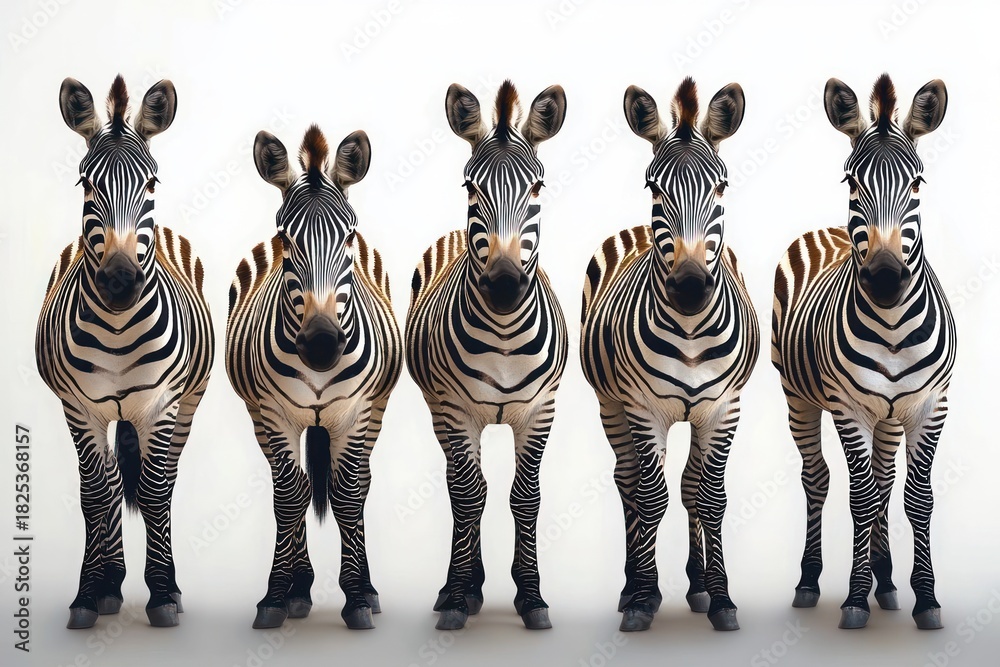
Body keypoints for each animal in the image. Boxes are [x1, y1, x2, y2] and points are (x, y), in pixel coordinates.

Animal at [35, 75, 214, 629]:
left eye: (152, 184)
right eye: (85, 184)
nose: (118, 281)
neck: (115, 331)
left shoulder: (161, 407)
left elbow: (154, 491)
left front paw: (161, 595)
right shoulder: (78, 407)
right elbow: (96, 494)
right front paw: (88, 594)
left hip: (188, 401)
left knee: (164, 481)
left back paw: (166, 584)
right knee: (110, 483)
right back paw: (111, 583)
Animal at [226, 125, 401, 630]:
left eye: (348, 235)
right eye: (286, 237)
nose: (321, 343)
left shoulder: (356, 412)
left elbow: (347, 494)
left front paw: (357, 597)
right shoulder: (272, 413)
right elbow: (290, 495)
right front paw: (276, 597)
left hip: (375, 412)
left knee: (360, 482)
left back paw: (368, 588)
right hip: (258, 416)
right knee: (292, 486)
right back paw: (298, 589)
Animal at [405, 80, 567, 631]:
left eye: (537, 187)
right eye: (470, 189)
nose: (502, 285)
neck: (503, 336)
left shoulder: (540, 411)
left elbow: (526, 496)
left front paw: (532, 597)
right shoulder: (456, 411)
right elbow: (469, 494)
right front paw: (458, 596)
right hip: (439, 411)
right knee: (460, 487)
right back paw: (460, 587)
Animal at [580, 78, 759, 633]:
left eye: (721, 187)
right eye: (654, 189)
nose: (689, 286)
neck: (690, 331)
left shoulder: (724, 409)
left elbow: (709, 497)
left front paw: (720, 598)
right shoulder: (642, 408)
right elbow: (650, 497)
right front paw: (643, 597)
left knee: (688, 486)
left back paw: (696, 586)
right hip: (609, 405)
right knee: (629, 483)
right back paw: (631, 584)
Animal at [772, 74, 954, 630]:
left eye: (917, 184)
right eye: (851, 183)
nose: (886, 278)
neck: (892, 327)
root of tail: (823, 230)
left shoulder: (929, 406)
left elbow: (915, 498)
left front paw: (925, 597)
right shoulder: (848, 407)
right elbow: (860, 498)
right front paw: (855, 598)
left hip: (889, 417)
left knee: (886, 480)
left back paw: (888, 582)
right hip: (798, 398)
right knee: (818, 479)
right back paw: (810, 582)